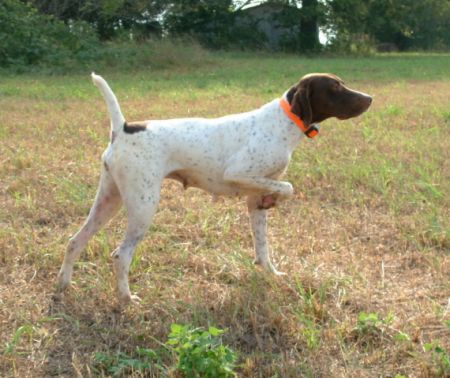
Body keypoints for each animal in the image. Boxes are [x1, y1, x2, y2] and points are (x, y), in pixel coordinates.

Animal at [56, 73, 370, 304]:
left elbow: (263, 247)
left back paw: (63, 285)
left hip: (109, 201)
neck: (283, 122)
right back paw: (126, 299)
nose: (370, 98)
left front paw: (270, 273)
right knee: (121, 256)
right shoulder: (240, 173)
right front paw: (278, 196)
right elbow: (288, 186)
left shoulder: (254, 201)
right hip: (143, 207)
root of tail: (123, 128)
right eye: (335, 87)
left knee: (74, 241)